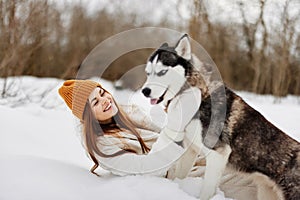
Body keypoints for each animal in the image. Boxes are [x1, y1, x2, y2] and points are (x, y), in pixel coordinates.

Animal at [141, 34, 300, 200]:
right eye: (147, 73)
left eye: (162, 72)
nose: (145, 91)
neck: (199, 93)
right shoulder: (191, 150)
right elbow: (180, 175)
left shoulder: (218, 154)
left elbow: (206, 191)